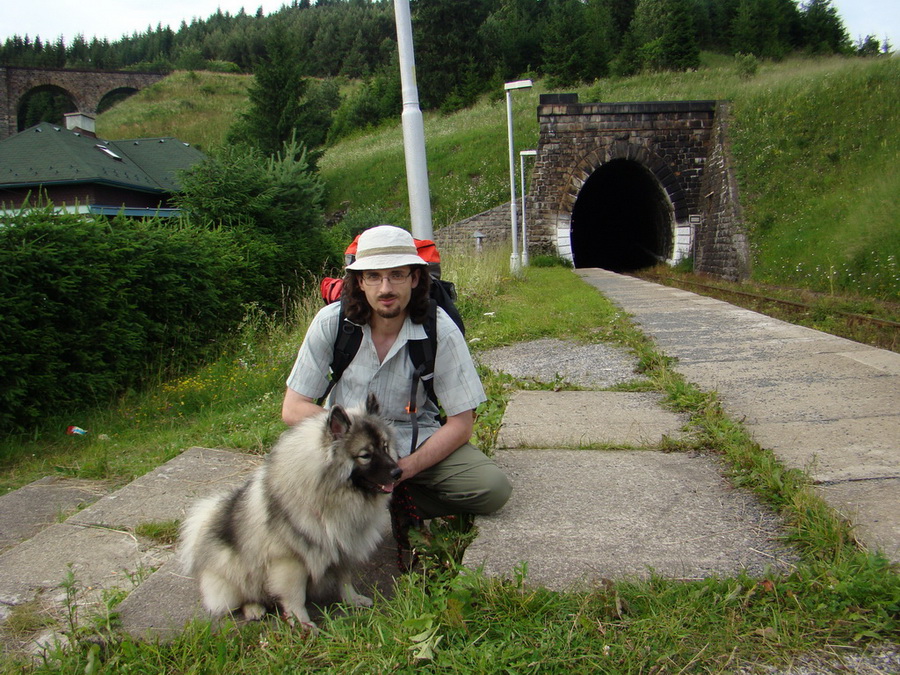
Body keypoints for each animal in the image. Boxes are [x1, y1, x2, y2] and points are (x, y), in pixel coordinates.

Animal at [178, 396, 400, 628]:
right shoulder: (290, 561)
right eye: (365, 455)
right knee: (243, 596)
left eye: (385, 447)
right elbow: (295, 597)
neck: (330, 495)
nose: (398, 471)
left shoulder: (343, 548)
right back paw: (254, 608)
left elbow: (345, 580)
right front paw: (303, 624)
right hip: (236, 572)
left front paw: (352, 600)